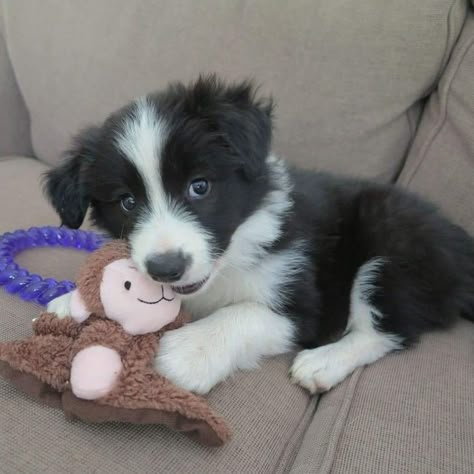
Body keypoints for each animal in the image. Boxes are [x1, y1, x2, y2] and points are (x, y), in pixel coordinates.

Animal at [42, 75, 472, 392]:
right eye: (127, 202)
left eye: (200, 186)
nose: (166, 268)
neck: (230, 259)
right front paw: (71, 302)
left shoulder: (304, 304)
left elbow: (242, 314)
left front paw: (187, 353)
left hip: (394, 242)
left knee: (388, 328)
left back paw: (324, 362)